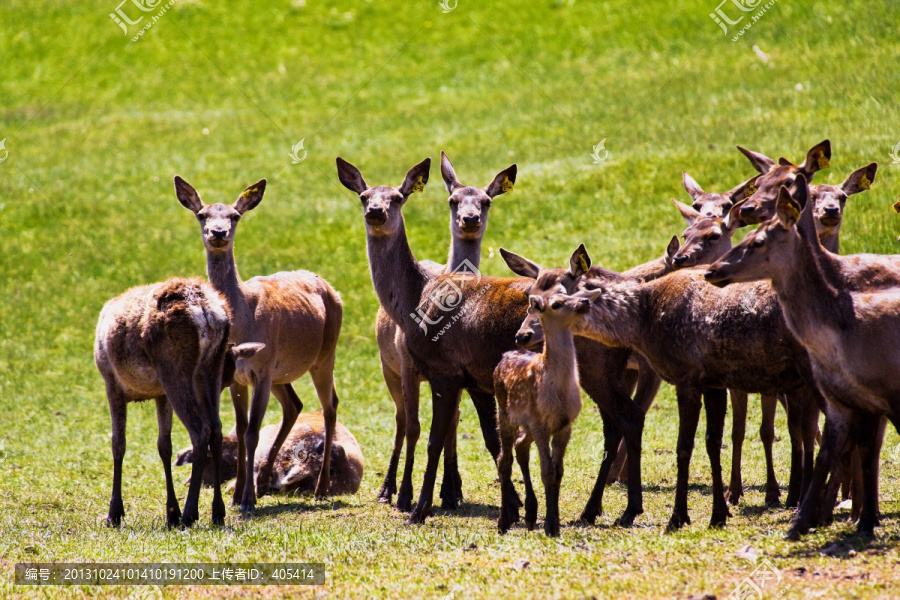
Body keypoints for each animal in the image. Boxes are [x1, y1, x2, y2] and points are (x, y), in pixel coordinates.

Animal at [96, 276, 264, 524]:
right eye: (227, 379)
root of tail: (206, 311)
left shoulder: (111, 382)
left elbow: (118, 443)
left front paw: (114, 513)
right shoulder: (160, 394)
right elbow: (164, 445)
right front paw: (171, 512)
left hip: (174, 367)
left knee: (200, 429)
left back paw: (190, 513)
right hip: (208, 369)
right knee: (216, 427)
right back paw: (217, 511)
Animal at [176, 176, 344, 512]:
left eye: (234, 216)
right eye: (201, 214)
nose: (218, 233)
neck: (244, 318)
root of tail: (333, 290)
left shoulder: (263, 370)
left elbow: (253, 432)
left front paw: (247, 500)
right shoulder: (237, 377)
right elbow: (241, 431)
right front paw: (238, 493)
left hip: (324, 353)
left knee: (329, 405)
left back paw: (321, 489)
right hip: (282, 373)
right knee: (295, 405)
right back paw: (265, 480)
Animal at [374, 151, 516, 510]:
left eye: (486, 201)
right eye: (453, 200)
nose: (469, 219)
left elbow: (452, 424)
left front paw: (451, 491)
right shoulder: (408, 364)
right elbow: (415, 426)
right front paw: (408, 495)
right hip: (388, 367)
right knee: (400, 420)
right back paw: (386, 489)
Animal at [496, 288, 600, 536]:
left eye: (575, 294)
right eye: (556, 303)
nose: (584, 301)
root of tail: (502, 358)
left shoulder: (564, 424)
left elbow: (558, 471)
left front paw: (555, 522)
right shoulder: (539, 422)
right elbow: (547, 471)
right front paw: (551, 526)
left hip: (527, 424)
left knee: (520, 446)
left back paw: (531, 515)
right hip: (504, 412)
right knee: (504, 459)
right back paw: (503, 522)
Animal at [704, 178, 900, 540]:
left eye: (758, 242)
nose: (712, 270)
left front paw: (836, 513)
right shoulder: (843, 398)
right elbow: (831, 449)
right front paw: (808, 518)